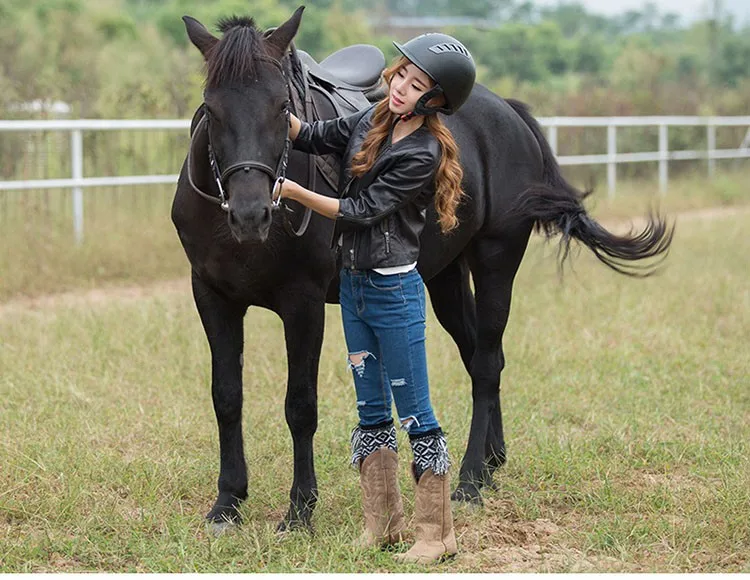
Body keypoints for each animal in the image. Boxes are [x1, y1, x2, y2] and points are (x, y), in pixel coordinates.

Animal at [172, 9, 676, 532]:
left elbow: (300, 406)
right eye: (211, 109)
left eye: (280, 107)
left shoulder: (303, 304)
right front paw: (227, 501)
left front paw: (299, 510)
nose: (251, 214)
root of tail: (508, 113)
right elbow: (226, 397)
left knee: (487, 360)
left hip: (496, 261)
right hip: (444, 275)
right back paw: (492, 462)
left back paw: (471, 479)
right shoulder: (212, 297)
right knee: (479, 355)